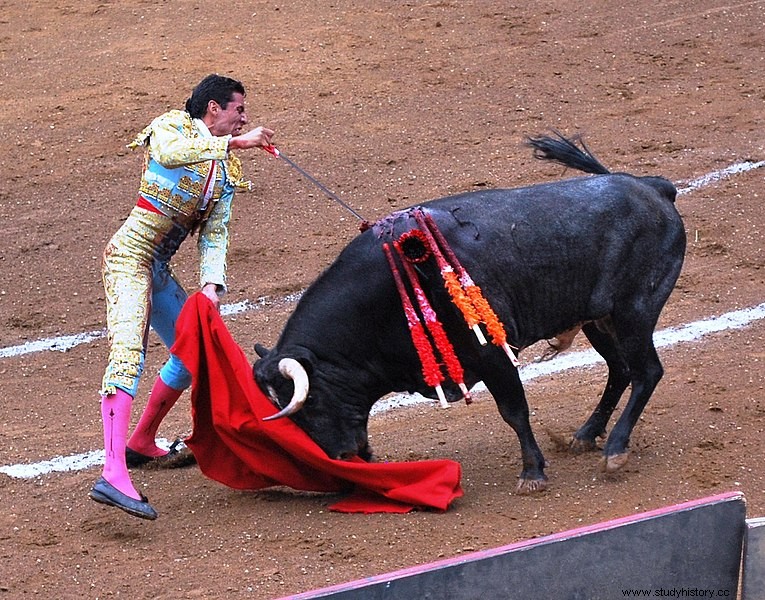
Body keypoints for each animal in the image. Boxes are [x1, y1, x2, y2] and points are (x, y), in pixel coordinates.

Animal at [252, 132, 688, 492]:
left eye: (311, 400)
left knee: (647, 371)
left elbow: (513, 410)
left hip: (634, 312)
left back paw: (615, 449)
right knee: (621, 369)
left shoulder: (492, 353)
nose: (342, 457)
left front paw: (532, 473)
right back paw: (585, 435)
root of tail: (655, 188)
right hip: (598, 320)